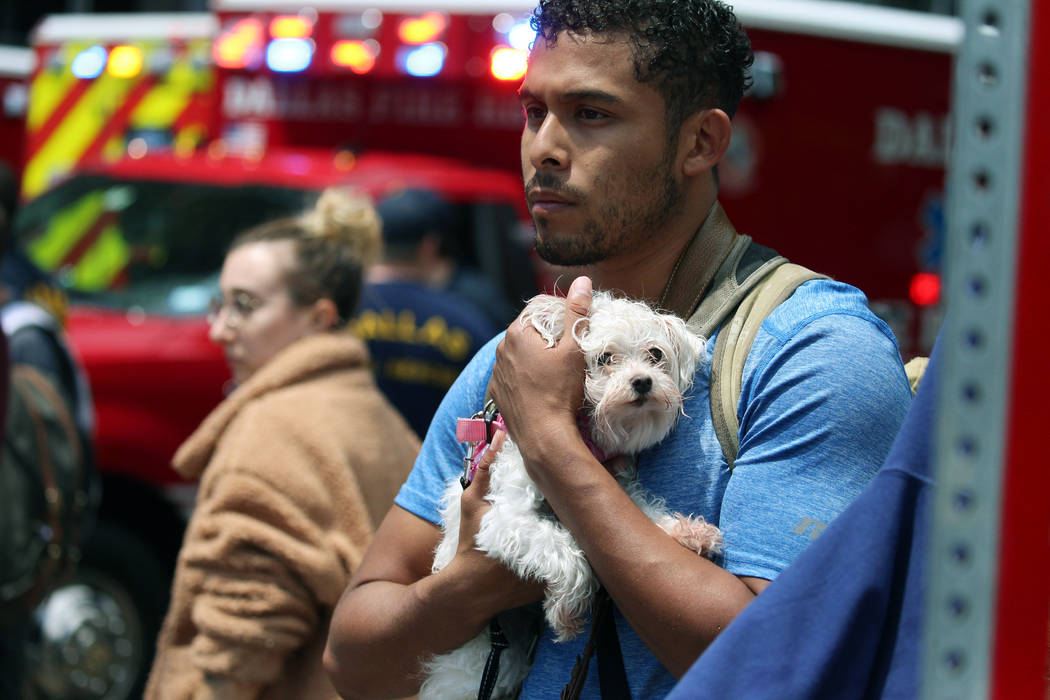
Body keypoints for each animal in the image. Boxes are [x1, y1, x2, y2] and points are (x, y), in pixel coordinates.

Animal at [422, 291, 726, 700]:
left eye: (655, 354)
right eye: (605, 358)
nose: (643, 382)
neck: (585, 438)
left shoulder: (614, 488)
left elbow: (642, 511)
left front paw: (686, 531)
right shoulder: (503, 520)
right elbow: (566, 551)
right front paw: (567, 610)